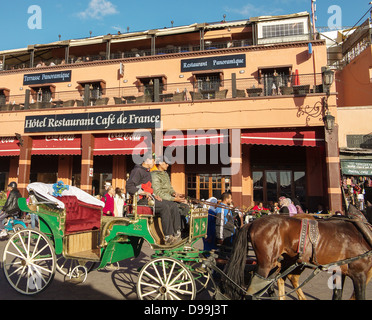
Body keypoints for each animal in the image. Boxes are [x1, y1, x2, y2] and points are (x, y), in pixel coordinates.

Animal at [222, 215, 372, 300]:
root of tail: (252, 222)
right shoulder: (359, 274)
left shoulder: (340, 271)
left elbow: (337, 296)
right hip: (267, 263)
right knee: (255, 287)